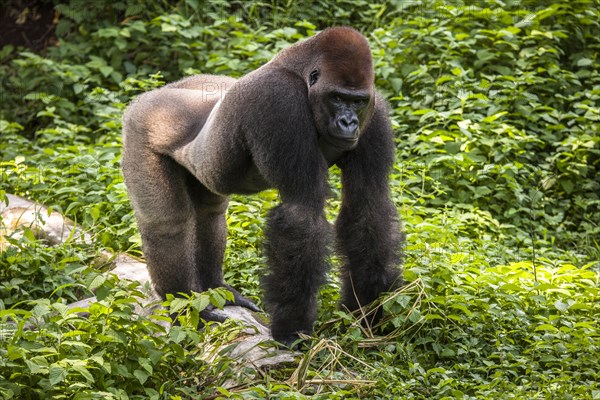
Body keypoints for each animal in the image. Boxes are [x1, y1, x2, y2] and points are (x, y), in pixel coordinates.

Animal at [121, 25, 404, 344]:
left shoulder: (376, 112)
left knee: (209, 212)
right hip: (143, 122)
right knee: (167, 223)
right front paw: (292, 330)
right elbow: (301, 214)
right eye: (337, 98)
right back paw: (185, 306)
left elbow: (367, 206)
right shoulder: (278, 101)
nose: (349, 122)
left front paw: (367, 310)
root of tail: (157, 92)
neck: (299, 71)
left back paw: (214, 288)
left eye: (357, 101)